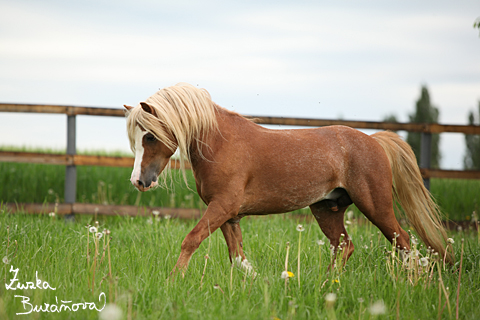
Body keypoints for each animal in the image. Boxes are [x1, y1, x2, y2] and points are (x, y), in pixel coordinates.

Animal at [124, 84, 450, 276]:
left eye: (150, 136)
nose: (139, 181)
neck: (220, 144)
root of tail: (375, 141)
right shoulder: (228, 214)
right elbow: (238, 257)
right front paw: (254, 281)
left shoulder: (222, 207)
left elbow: (191, 240)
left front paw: (174, 279)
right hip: (326, 209)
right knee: (344, 245)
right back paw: (328, 284)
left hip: (376, 206)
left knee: (404, 241)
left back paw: (411, 282)